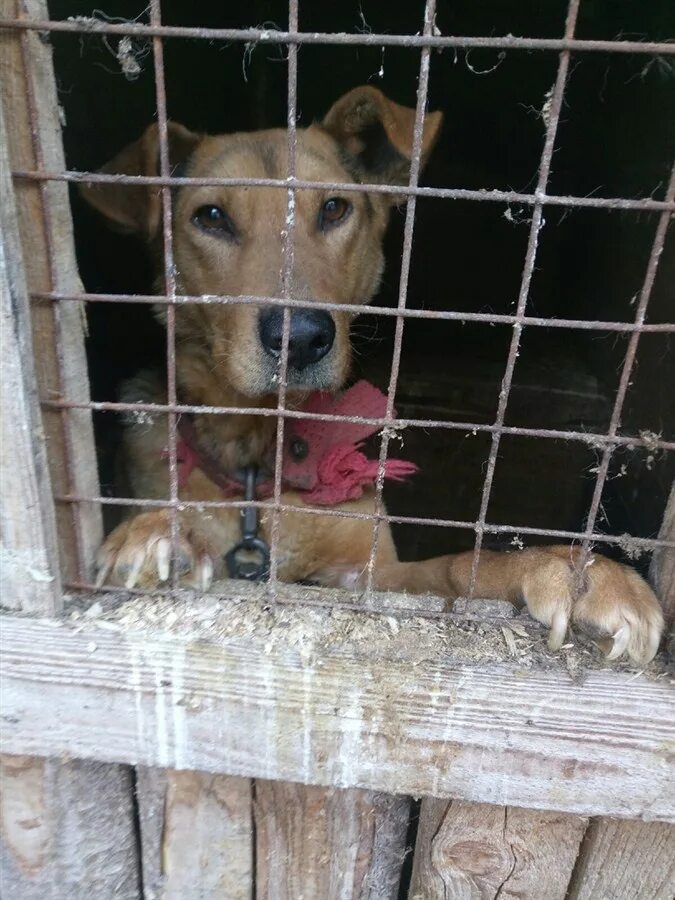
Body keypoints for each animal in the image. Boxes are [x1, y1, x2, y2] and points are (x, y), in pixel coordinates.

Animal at [80, 86, 664, 660]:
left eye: (334, 209)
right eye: (211, 217)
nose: (301, 337)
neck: (263, 462)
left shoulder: (371, 575)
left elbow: (459, 566)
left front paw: (570, 571)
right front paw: (161, 534)